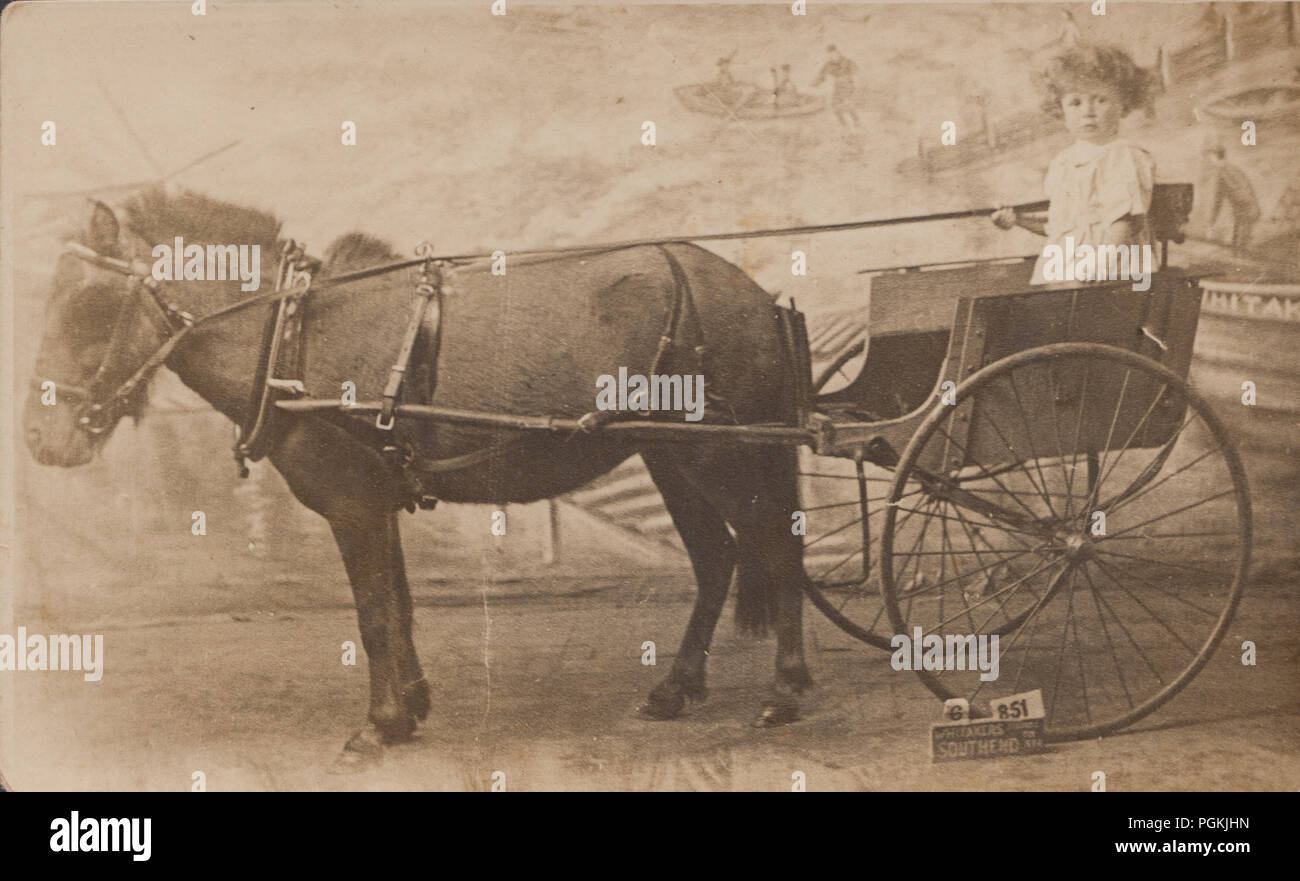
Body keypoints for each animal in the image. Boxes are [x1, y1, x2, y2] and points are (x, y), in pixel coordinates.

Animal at [20, 189, 816, 764]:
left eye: (90, 302)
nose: (36, 437)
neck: (295, 337)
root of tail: (751, 293)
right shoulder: (378, 502)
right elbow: (399, 607)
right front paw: (411, 709)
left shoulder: (352, 508)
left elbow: (373, 615)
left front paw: (379, 724)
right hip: (670, 456)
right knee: (718, 557)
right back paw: (677, 689)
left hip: (717, 454)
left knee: (776, 548)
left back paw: (784, 691)